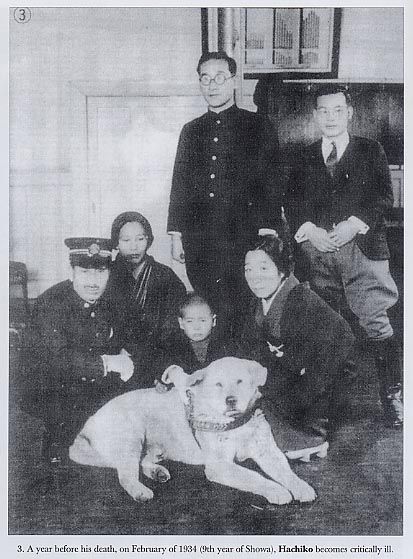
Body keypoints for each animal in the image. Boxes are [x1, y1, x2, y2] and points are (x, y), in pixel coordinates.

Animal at [69, 358, 314, 508]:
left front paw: (301, 487)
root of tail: (88, 424)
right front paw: (276, 490)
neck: (237, 424)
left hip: (153, 445)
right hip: (131, 436)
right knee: (125, 475)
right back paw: (140, 490)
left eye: (240, 381)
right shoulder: (219, 465)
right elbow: (254, 476)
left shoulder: (269, 453)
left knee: (143, 461)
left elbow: (287, 472)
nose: (231, 400)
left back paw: (157, 472)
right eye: (218, 384)